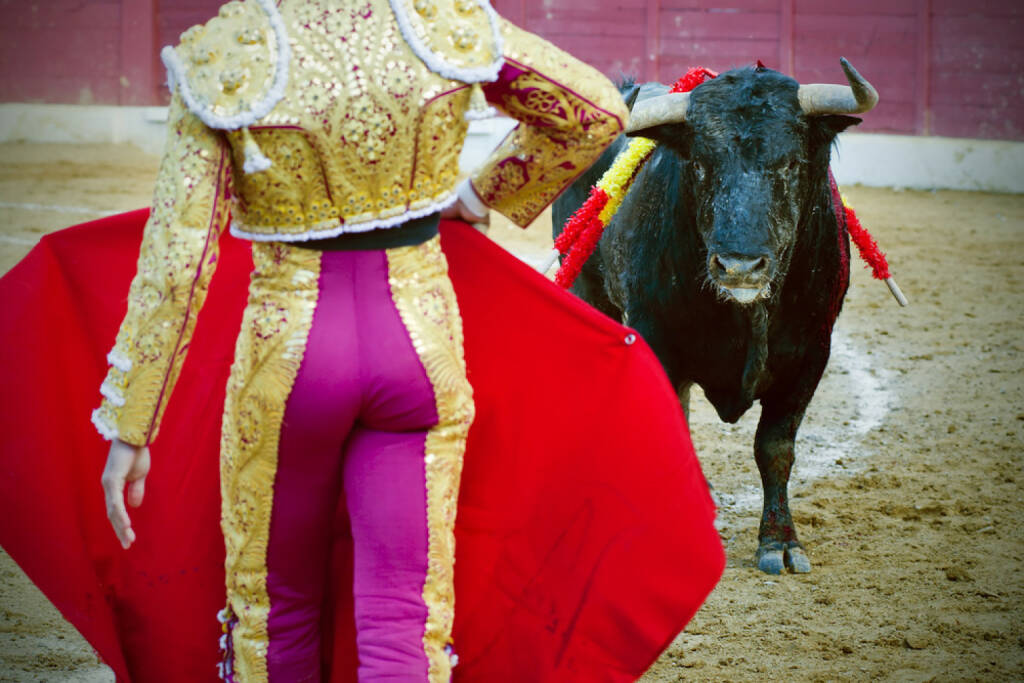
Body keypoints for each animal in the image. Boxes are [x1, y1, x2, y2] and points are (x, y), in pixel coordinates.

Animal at [552, 58, 880, 573]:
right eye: (702, 164)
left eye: (791, 163)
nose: (739, 266)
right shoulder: (655, 337)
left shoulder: (812, 354)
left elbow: (775, 447)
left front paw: (780, 543)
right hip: (589, 294)